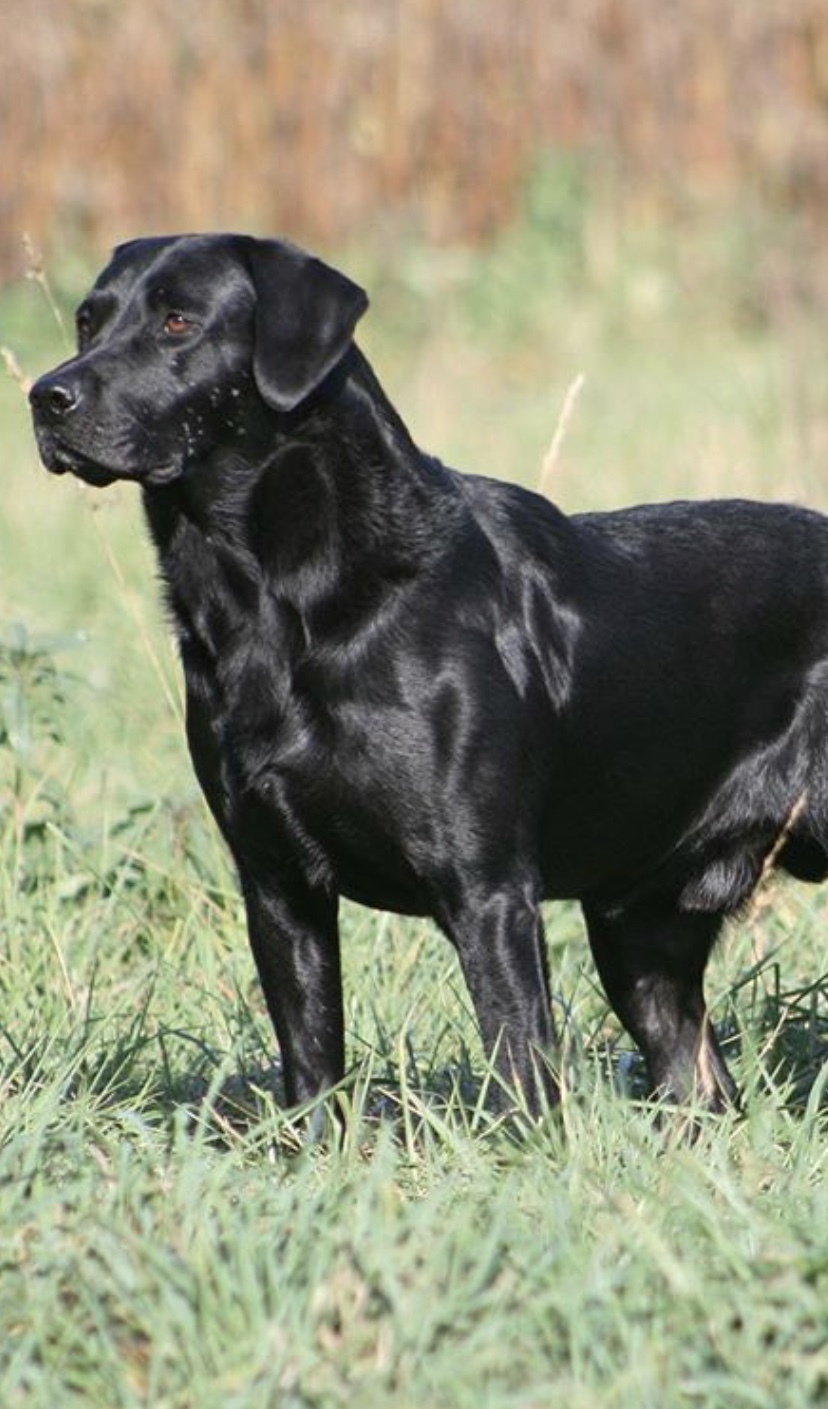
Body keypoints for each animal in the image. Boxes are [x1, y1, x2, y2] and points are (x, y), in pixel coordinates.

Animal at [29, 236, 828, 1115]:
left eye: (178, 321)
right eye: (88, 320)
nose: (46, 396)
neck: (279, 605)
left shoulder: (488, 890)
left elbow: (521, 1073)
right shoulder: (277, 886)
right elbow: (312, 1069)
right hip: (642, 927)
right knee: (701, 1080)